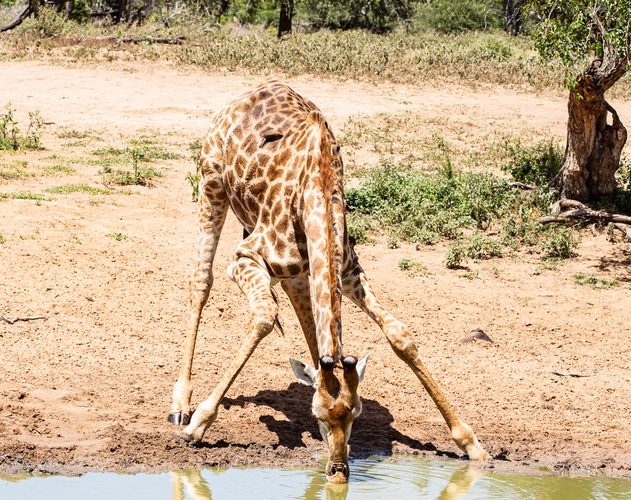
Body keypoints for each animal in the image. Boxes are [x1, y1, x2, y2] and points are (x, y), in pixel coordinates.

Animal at [168, 80, 488, 482]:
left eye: (356, 414)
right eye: (318, 414)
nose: (338, 470)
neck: (318, 189)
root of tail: (252, 91)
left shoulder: (348, 270)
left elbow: (399, 335)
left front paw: (471, 443)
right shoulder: (246, 257)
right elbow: (263, 316)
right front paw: (198, 424)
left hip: (297, 266)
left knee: (302, 308)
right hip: (211, 184)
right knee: (202, 280)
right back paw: (180, 404)